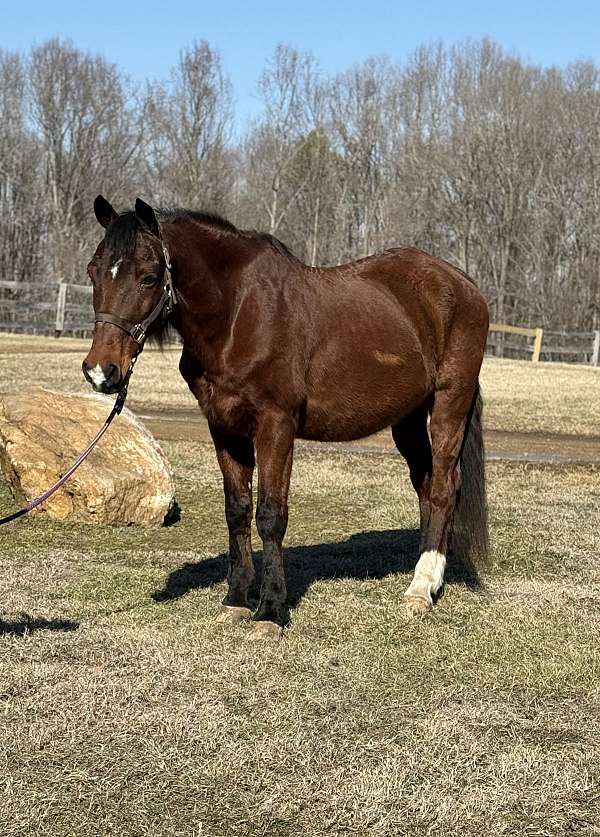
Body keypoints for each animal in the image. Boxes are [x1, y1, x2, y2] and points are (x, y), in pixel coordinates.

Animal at [83, 196, 488, 640]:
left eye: (149, 277)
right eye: (93, 271)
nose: (101, 372)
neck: (237, 313)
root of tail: (463, 284)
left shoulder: (275, 426)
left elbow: (271, 515)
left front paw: (271, 611)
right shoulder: (224, 428)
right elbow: (238, 510)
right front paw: (236, 600)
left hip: (450, 401)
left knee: (445, 487)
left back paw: (421, 589)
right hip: (408, 417)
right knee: (426, 485)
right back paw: (425, 575)